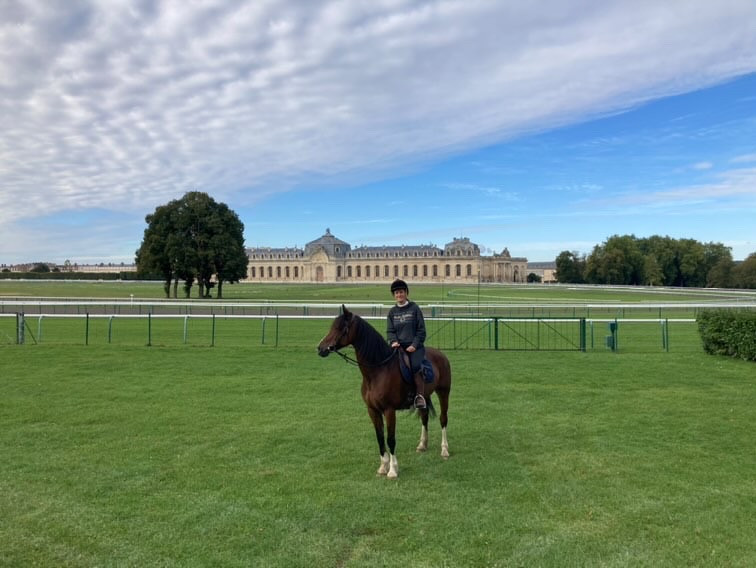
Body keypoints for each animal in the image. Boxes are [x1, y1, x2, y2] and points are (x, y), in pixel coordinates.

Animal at [317, 306, 451, 479]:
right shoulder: (372, 410)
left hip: (444, 392)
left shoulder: (389, 410)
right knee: (424, 417)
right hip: (424, 396)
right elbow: (380, 438)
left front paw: (393, 470)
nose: (321, 348)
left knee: (443, 419)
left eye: (340, 328)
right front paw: (382, 467)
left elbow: (390, 439)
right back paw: (422, 445)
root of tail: (441, 354)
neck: (378, 371)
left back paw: (445, 450)